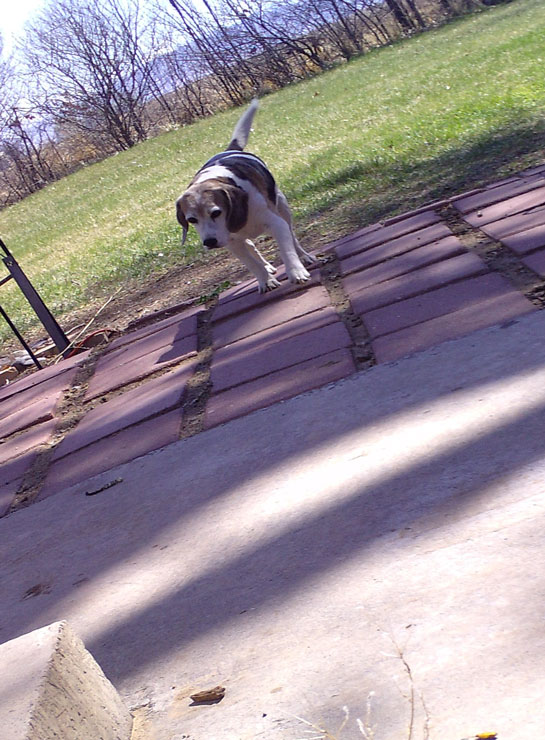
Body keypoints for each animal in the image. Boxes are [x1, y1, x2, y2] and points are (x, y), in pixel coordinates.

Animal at [176, 99, 317, 293]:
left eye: (216, 212)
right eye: (191, 220)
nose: (209, 242)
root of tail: (229, 149)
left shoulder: (277, 224)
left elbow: (287, 251)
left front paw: (296, 272)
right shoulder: (233, 243)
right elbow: (252, 264)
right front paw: (265, 280)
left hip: (283, 208)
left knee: (292, 237)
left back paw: (304, 257)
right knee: (253, 248)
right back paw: (267, 268)